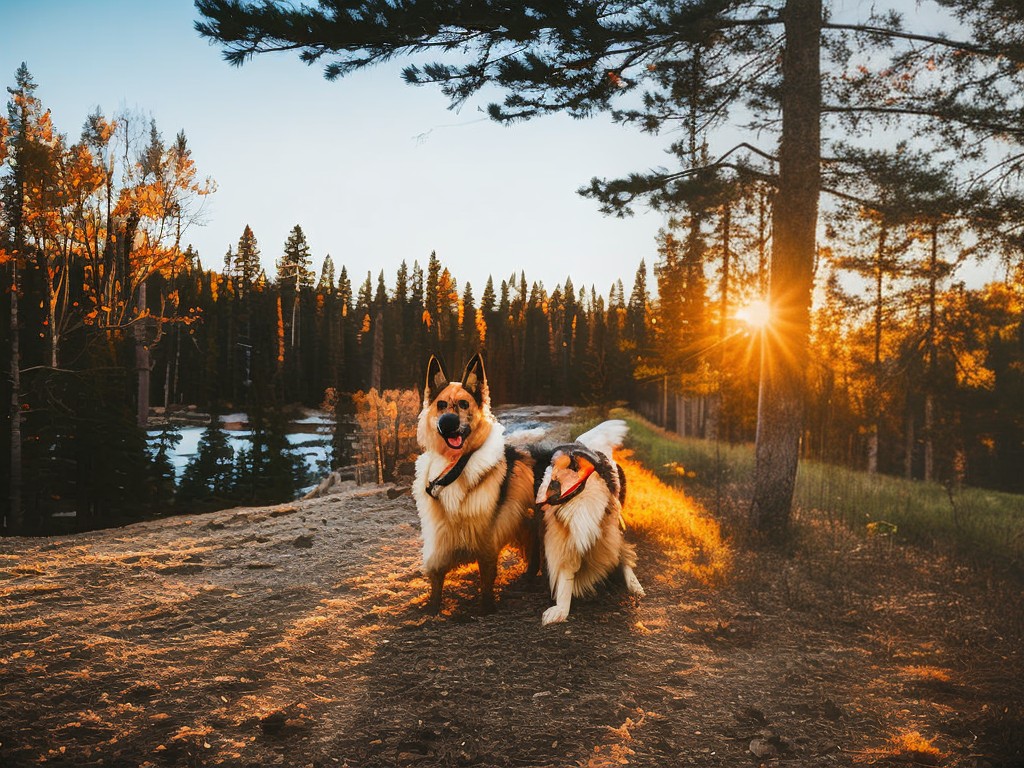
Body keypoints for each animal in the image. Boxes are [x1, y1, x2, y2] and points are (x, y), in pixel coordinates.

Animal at [411, 354, 540, 614]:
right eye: (441, 405)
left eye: (463, 404)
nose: (447, 423)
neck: (455, 465)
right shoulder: (440, 534)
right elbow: (437, 574)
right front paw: (433, 608)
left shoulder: (486, 534)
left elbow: (487, 573)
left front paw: (486, 607)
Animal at [532, 421, 643, 626]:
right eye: (548, 472)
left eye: (575, 466)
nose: (545, 495)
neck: (581, 507)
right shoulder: (563, 542)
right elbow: (565, 577)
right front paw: (559, 611)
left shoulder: (610, 533)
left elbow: (623, 557)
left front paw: (635, 586)